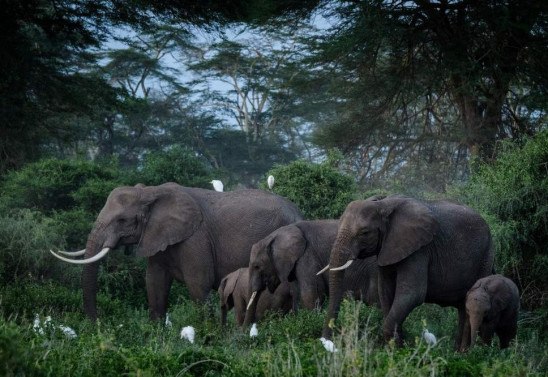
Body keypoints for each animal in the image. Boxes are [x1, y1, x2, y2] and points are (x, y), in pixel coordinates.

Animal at [49, 182, 302, 320]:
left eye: (122, 220)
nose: (97, 323)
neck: (151, 193)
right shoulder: (157, 238)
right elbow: (154, 284)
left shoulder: (195, 238)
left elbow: (198, 284)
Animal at [318, 195, 494, 348]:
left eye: (364, 233)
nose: (326, 342)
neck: (383, 204)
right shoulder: (387, 248)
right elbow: (386, 292)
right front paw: (397, 349)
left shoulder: (420, 249)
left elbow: (412, 294)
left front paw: (398, 351)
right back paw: (458, 352)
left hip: (485, 257)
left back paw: (466, 354)